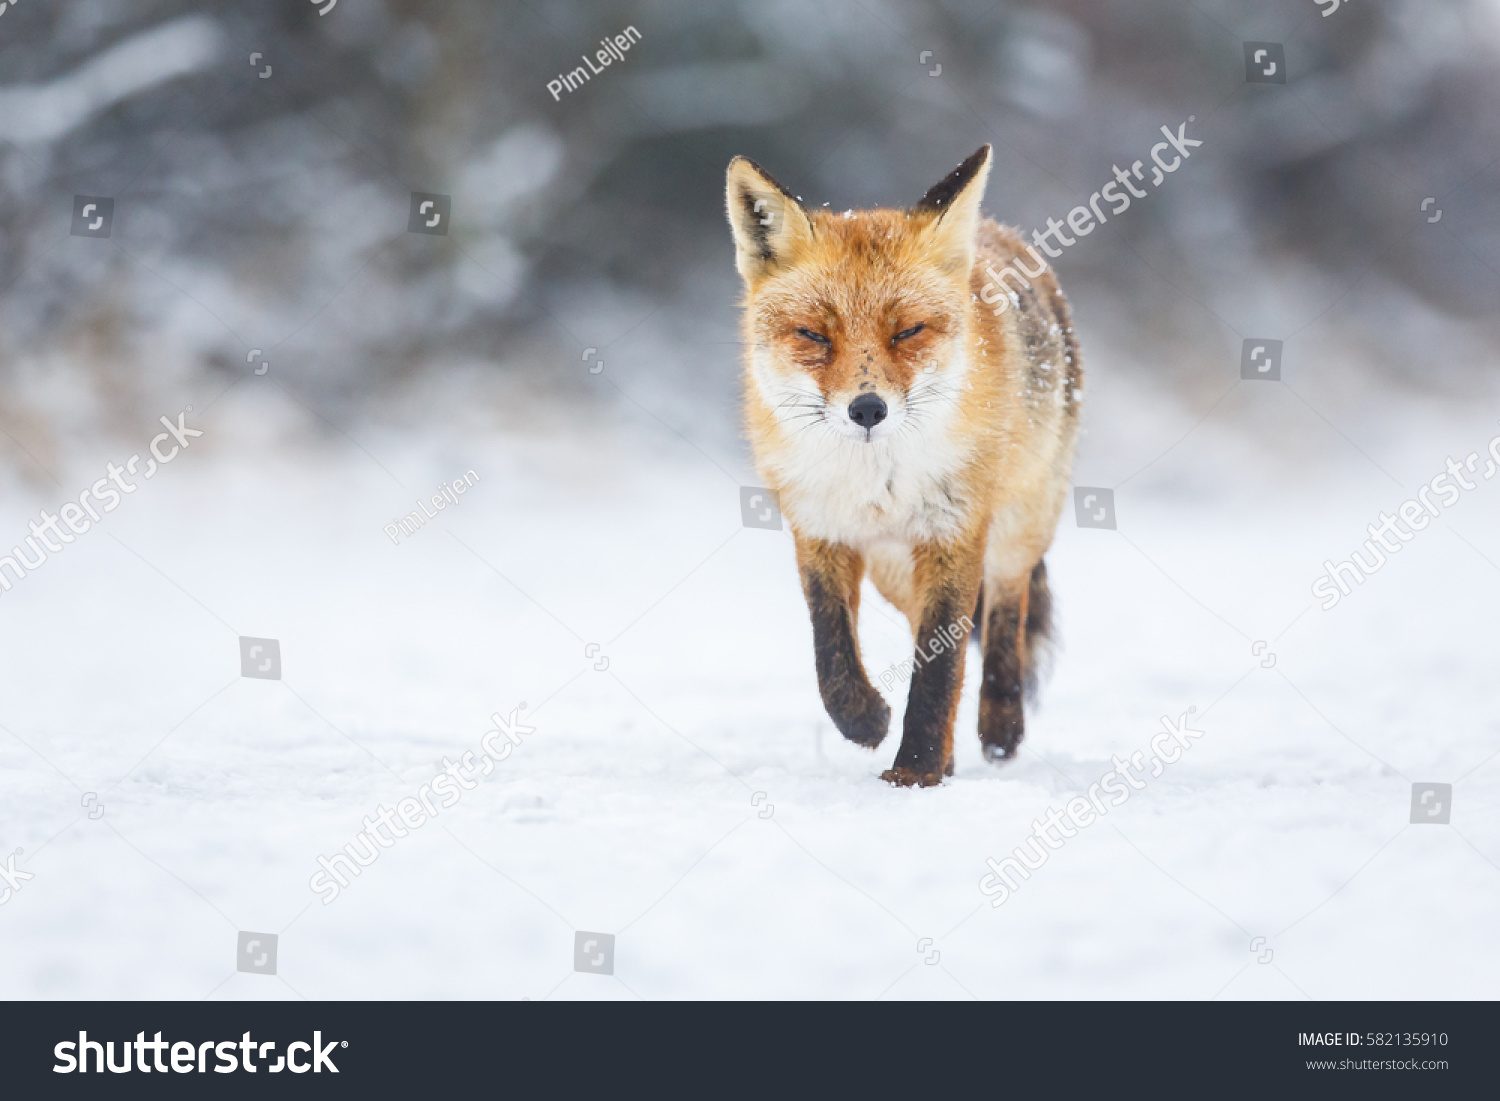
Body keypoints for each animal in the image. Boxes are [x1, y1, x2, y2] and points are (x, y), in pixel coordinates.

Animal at [725, 145, 1082, 787]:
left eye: (909, 330)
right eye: (813, 334)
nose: (868, 409)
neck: (876, 483)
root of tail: (1001, 233)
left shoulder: (954, 531)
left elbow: (940, 668)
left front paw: (914, 771)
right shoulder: (819, 530)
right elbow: (831, 648)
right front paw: (866, 720)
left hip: (1018, 527)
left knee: (1006, 612)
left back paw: (999, 727)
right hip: (895, 570)